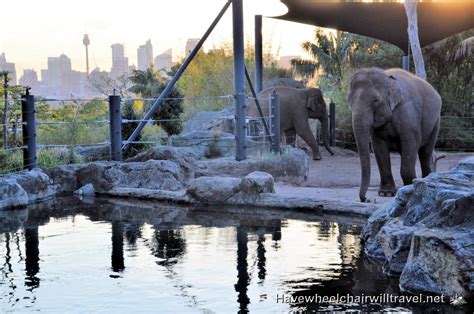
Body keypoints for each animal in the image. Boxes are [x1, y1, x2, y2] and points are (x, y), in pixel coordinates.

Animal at [350, 67, 442, 202]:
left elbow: (411, 143)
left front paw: (410, 187)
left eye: (376, 100)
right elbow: (379, 149)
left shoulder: (409, 113)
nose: (365, 199)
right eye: (350, 101)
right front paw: (386, 193)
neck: (386, 78)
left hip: (435, 122)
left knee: (425, 152)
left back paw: (427, 181)